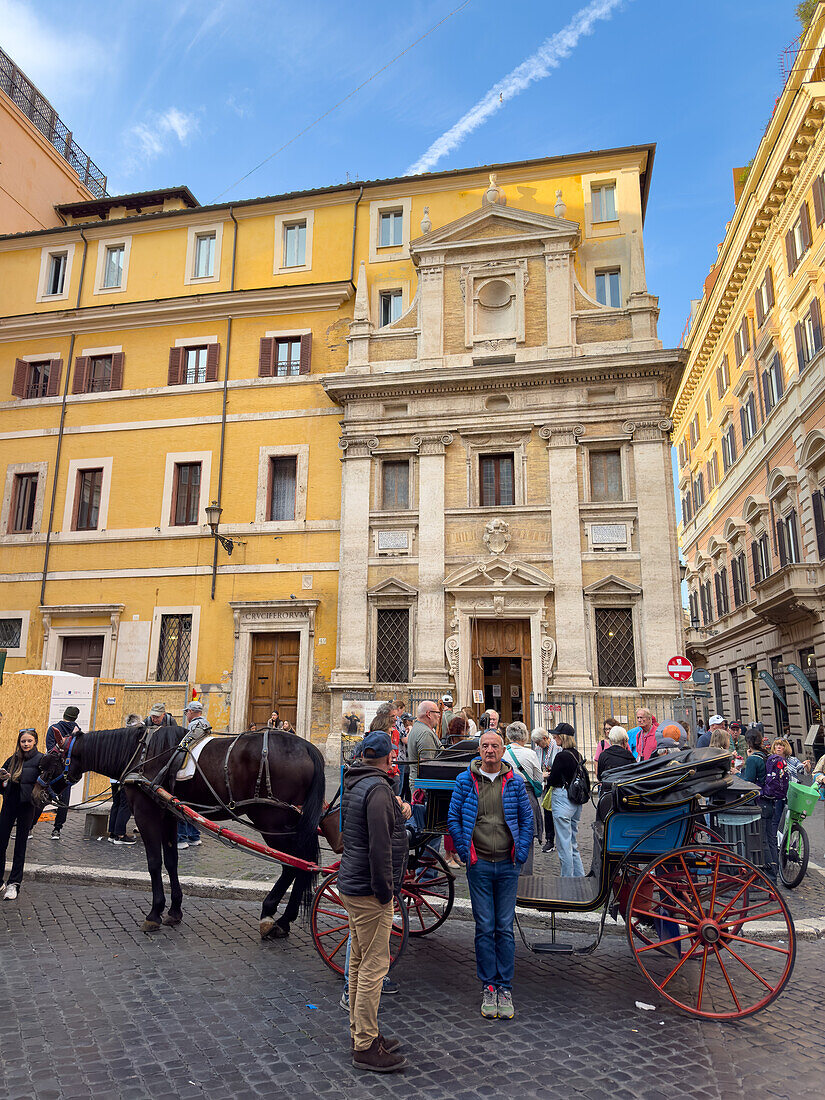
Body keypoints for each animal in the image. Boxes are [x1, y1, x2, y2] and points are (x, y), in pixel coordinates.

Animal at [34, 721, 325, 937]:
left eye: (50, 758)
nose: (37, 792)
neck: (140, 753)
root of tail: (308, 748)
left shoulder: (147, 813)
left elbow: (154, 862)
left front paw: (154, 913)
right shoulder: (170, 814)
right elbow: (172, 860)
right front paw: (174, 910)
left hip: (271, 819)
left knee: (294, 864)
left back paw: (272, 915)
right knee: (304, 863)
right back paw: (284, 920)